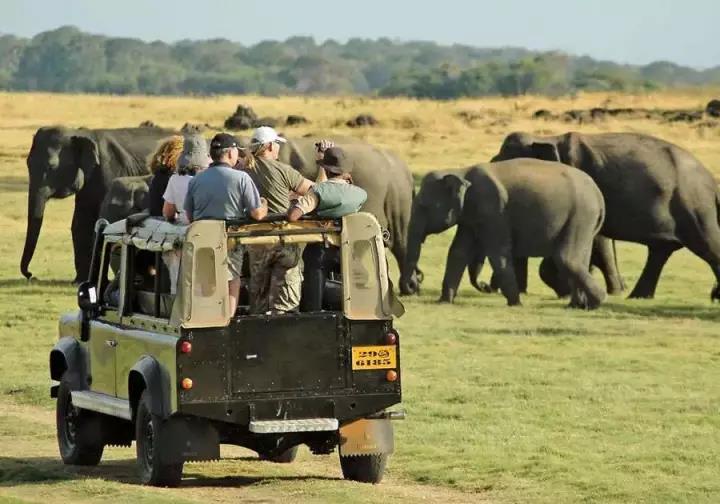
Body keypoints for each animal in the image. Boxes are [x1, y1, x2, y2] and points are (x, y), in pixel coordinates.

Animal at [22, 126, 176, 284]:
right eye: (27, 163)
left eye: (51, 167)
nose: (31, 275)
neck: (80, 134)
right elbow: (80, 223)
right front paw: (80, 281)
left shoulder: (110, 170)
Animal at [492, 132, 720, 302]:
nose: (489, 288)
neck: (548, 138)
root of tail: (711, 180)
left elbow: (595, 241)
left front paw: (567, 289)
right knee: (660, 251)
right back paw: (637, 296)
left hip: (694, 207)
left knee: (706, 245)